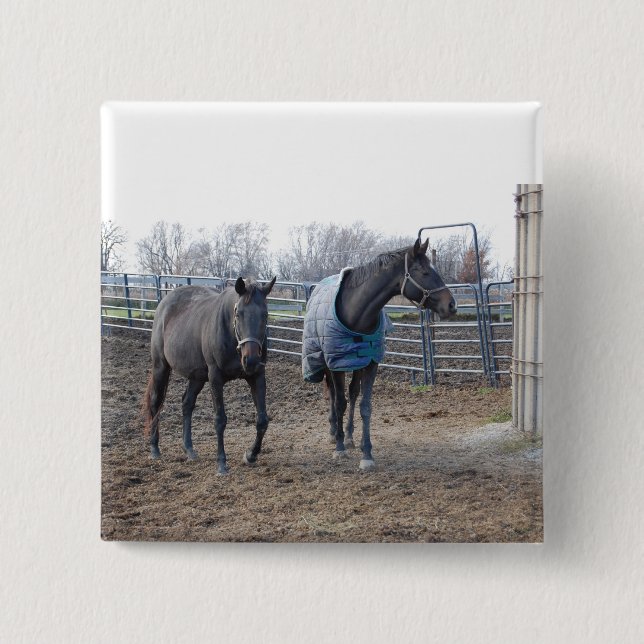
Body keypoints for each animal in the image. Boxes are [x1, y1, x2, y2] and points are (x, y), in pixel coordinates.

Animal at [142, 276, 276, 475]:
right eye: (239, 314)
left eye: (265, 315)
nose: (250, 360)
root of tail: (164, 303)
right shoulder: (215, 377)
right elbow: (220, 419)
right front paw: (221, 463)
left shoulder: (257, 375)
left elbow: (262, 420)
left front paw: (250, 455)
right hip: (161, 367)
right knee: (155, 402)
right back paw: (154, 448)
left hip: (197, 377)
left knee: (187, 403)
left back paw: (189, 449)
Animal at [302, 238, 456, 471]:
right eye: (425, 272)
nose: (451, 305)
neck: (356, 311)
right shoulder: (336, 363)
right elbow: (339, 403)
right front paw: (339, 448)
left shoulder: (370, 362)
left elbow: (365, 406)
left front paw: (366, 454)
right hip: (327, 363)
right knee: (334, 396)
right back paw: (334, 433)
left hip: (357, 362)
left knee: (352, 394)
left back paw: (349, 436)